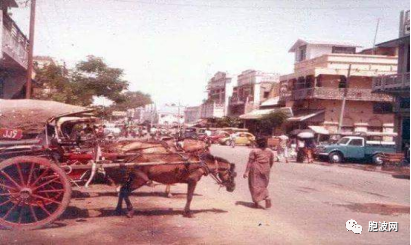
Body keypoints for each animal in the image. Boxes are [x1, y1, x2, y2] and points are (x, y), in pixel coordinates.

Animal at [104, 151, 237, 218]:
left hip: (133, 179)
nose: (232, 188)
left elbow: (189, 197)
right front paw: (188, 213)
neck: (201, 163)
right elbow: (189, 197)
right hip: (139, 180)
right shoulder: (192, 181)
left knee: (122, 190)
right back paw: (130, 211)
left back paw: (118, 210)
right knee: (125, 191)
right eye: (233, 174)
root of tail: (130, 159)